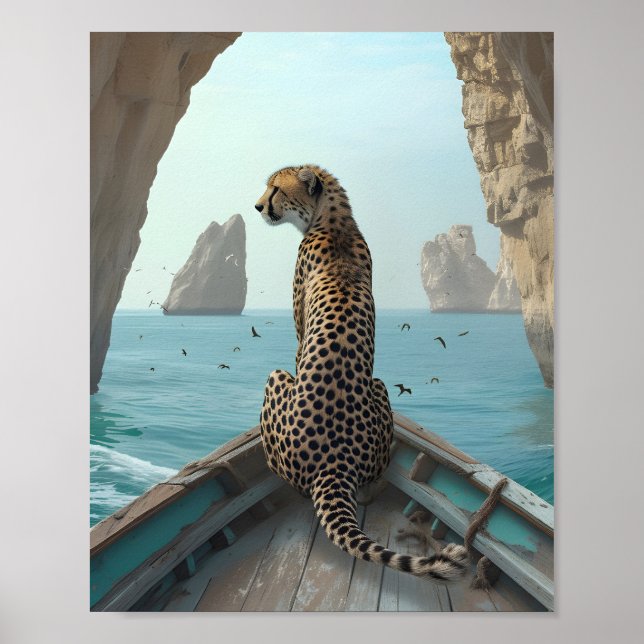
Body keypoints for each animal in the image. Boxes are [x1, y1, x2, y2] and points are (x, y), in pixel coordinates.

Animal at [254, 164, 468, 580]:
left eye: (275, 189)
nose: (257, 207)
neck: (333, 221)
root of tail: (335, 461)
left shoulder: (299, 330)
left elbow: (296, 347)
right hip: (380, 387)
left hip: (280, 382)